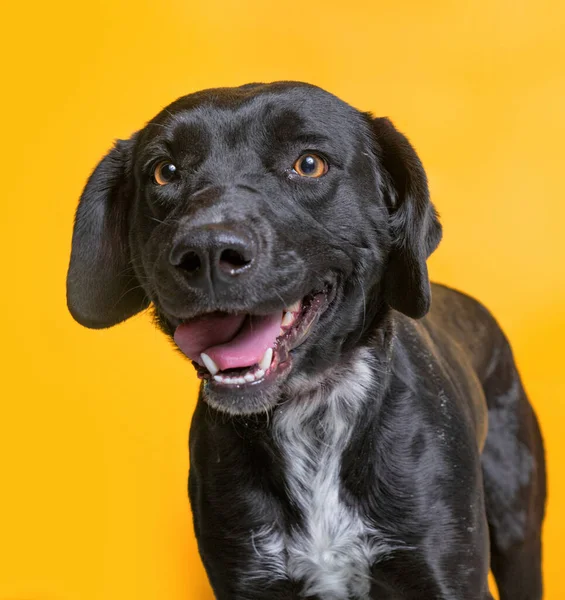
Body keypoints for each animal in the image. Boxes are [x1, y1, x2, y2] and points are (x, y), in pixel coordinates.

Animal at [67, 81, 548, 600]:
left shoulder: (447, 578)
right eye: (164, 171)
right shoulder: (246, 579)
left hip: (517, 523)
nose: (209, 250)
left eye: (309, 163)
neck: (308, 413)